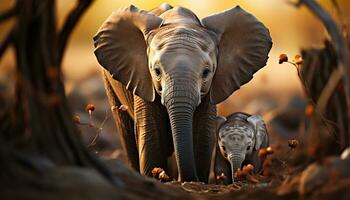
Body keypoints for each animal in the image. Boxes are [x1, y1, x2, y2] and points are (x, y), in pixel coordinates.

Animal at [92, 3, 270, 182]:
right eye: (157, 71)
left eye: (206, 72)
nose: (188, 179)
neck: (180, 21)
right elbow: (151, 135)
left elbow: (203, 135)